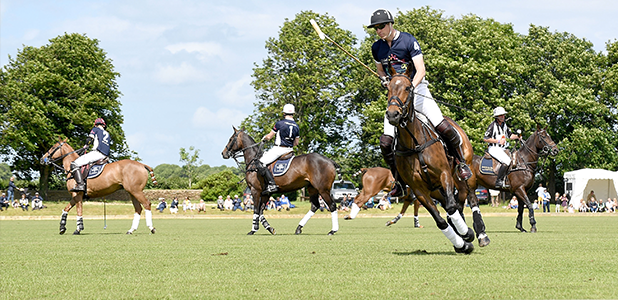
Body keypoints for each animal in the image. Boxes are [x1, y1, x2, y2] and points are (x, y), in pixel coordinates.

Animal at [384, 67, 476, 254]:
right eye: (388, 88)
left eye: (407, 88)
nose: (392, 114)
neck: (415, 143)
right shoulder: (418, 189)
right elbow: (440, 219)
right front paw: (462, 243)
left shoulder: (444, 174)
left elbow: (451, 208)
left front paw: (467, 235)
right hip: (435, 190)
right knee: (450, 206)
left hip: (461, 176)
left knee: (460, 201)